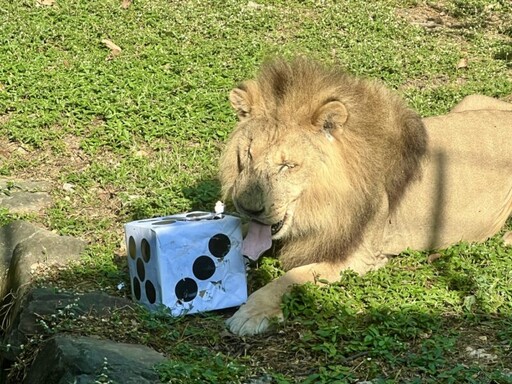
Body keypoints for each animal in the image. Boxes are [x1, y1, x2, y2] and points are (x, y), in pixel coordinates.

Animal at [219, 57, 512, 336]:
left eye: (288, 165)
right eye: (248, 155)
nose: (248, 208)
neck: (318, 203)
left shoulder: (358, 257)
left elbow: (289, 278)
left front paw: (252, 313)